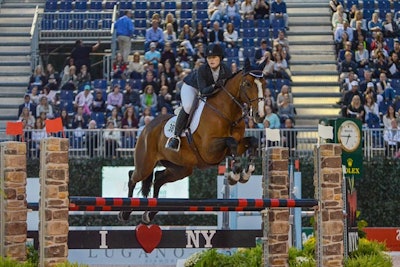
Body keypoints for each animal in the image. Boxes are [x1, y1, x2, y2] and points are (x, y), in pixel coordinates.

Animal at [120, 69, 268, 224]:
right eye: (247, 84)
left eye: (264, 84)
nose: (260, 115)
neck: (227, 114)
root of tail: (146, 128)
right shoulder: (209, 150)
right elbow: (231, 141)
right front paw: (235, 175)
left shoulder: (232, 147)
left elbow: (252, 141)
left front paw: (246, 172)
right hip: (145, 164)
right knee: (133, 176)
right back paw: (125, 212)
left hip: (181, 169)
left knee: (158, 178)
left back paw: (149, 214)